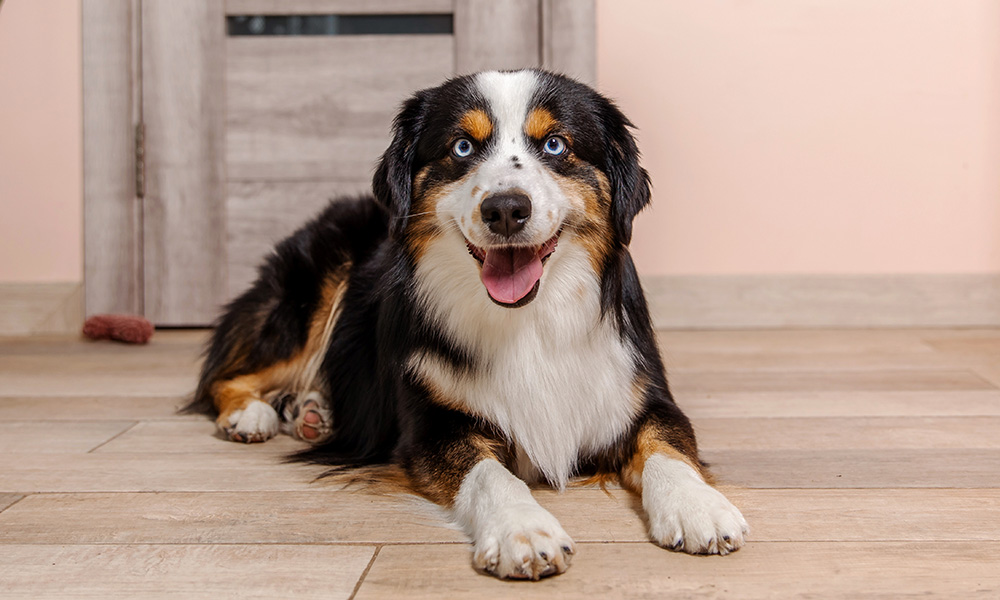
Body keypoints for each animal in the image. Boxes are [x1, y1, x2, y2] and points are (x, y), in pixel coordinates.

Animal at [189, 68, 752, 580]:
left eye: (555, 144)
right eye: (462, 147)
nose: (505, 209)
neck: (530, 322)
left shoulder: (642, 392)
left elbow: (668, 446)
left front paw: (697, 506)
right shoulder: (432, 426)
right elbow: (490, 474)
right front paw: (523, 530)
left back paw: (312, 411)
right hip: (313, 291)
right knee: (223, 374)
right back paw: (250, 415)